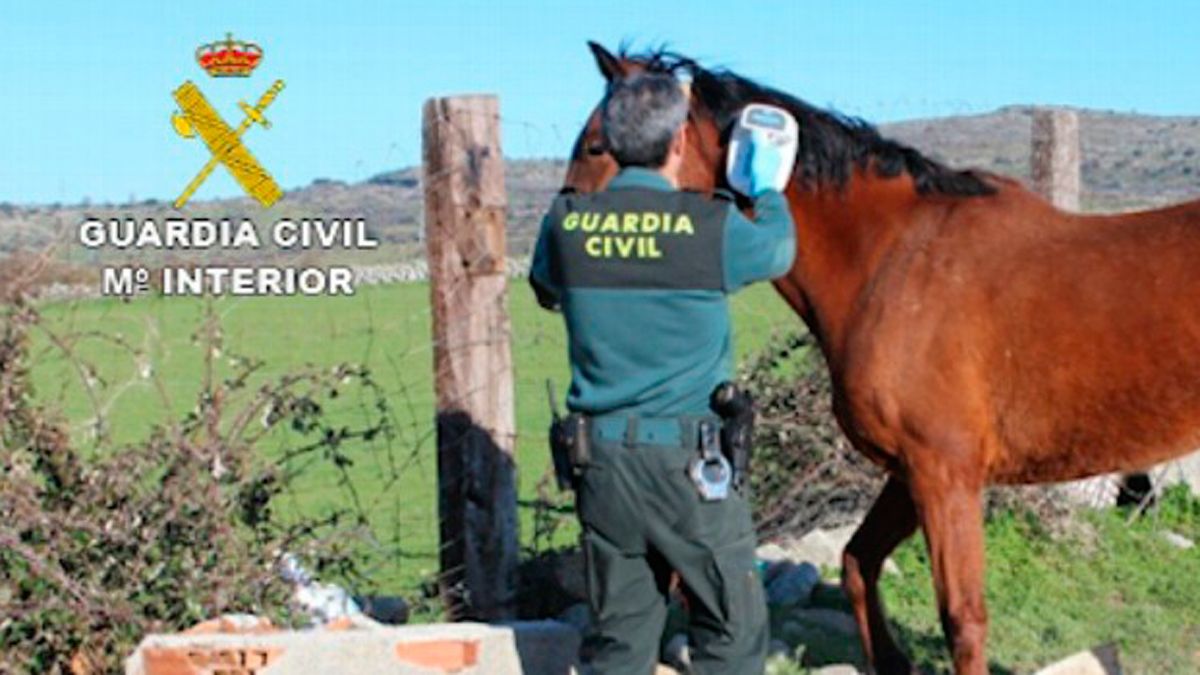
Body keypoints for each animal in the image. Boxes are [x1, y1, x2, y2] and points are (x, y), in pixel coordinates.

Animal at [559, 43, 1200, 672]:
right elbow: (856, 562)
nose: (553, 267)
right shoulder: (910, 471)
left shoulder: (944, 476)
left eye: (595, 145)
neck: (895, 258)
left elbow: (963, 621)